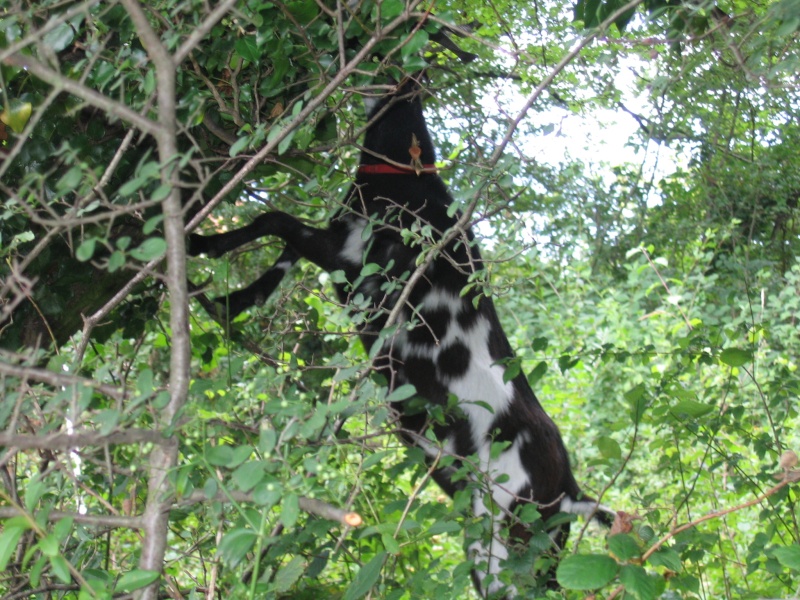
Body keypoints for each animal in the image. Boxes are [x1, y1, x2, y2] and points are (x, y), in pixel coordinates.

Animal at [189, 77, 612, 596]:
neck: (405, 174)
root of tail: (570, 490)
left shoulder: (353, 258)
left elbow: (273, 221)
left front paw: (203, 245)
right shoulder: (339, 253)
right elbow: (283, 253)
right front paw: (234, 301)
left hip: (504, 532)